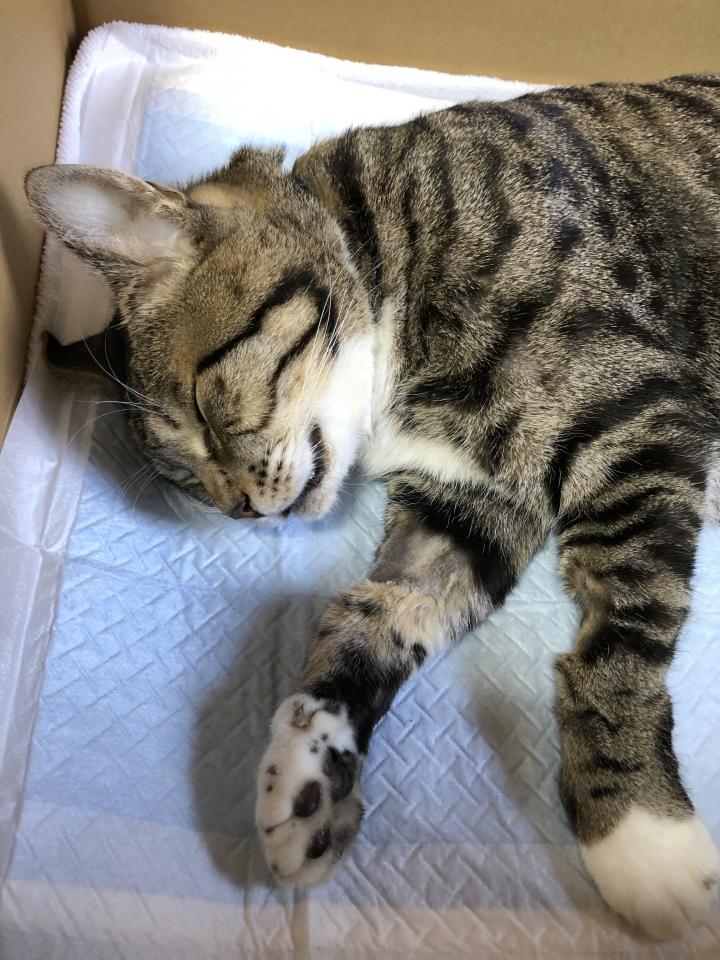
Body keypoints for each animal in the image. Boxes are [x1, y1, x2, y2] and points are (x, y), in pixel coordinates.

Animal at [25, 73, 720, 940]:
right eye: (187, 484)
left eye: (208, 413)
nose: (243, 508)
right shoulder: (465, 507)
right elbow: (367, 617)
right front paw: (309, 771)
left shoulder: (641, 422)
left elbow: (619, 645)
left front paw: (638, 831)